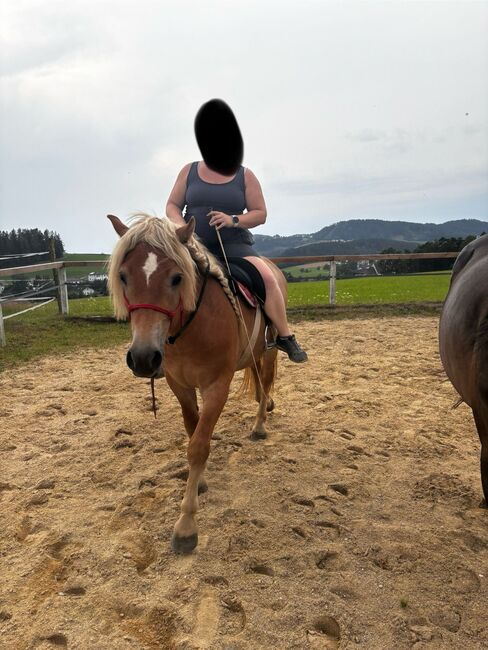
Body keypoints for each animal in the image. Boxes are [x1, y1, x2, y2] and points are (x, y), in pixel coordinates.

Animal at [106, 215, 282, 548]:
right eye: (123, 276)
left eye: (177, 278)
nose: (143, 358)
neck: (191, 329)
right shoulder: (180, 386)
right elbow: (192, 431)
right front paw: (199, 481)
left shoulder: (217, 387)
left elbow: (199, 445)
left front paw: (186, 523)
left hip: (270, 348)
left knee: (265, 381)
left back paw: (260, 424)